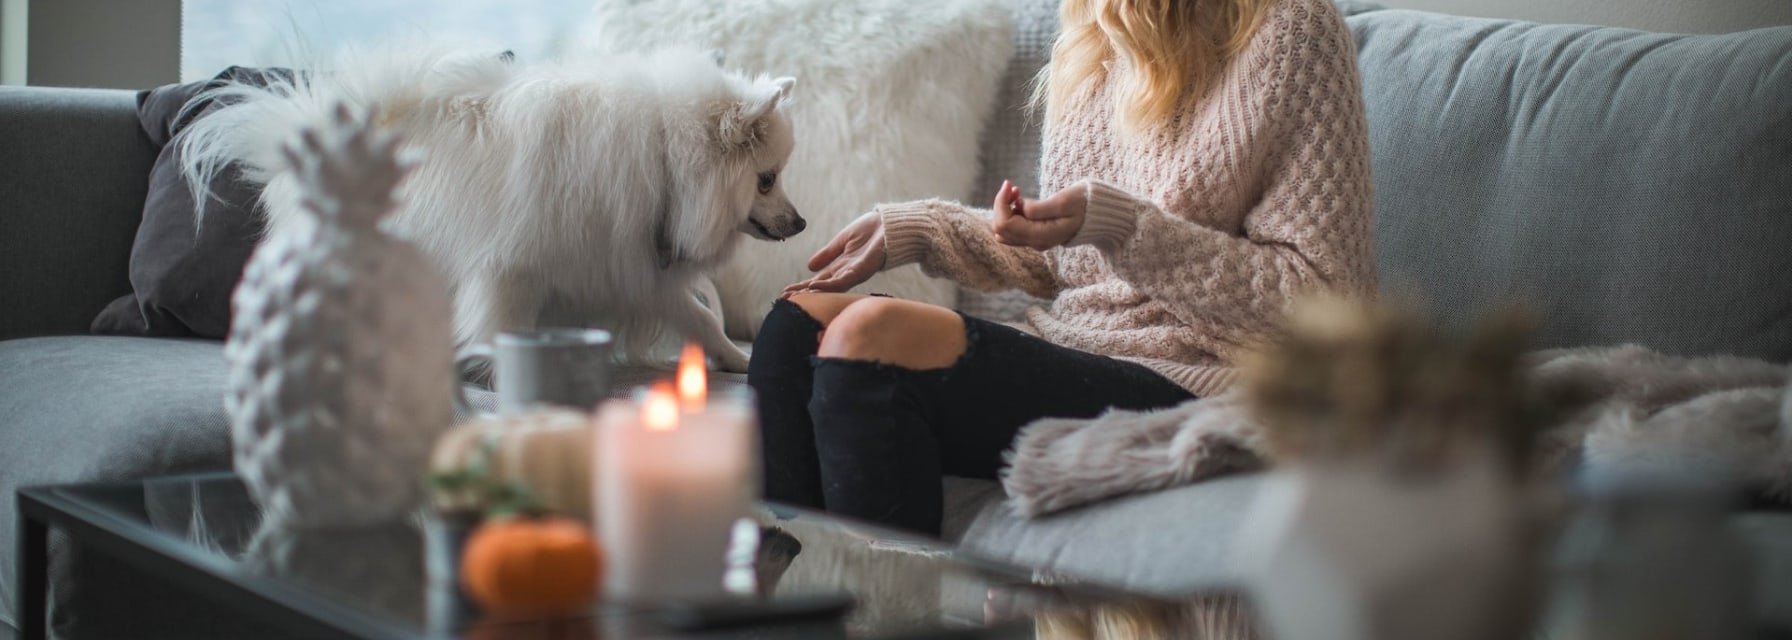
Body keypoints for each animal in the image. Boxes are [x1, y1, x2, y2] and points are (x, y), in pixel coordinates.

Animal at [180, 43, 799, 369]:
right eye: (767, 180)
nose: (801, 222)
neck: (664, 158)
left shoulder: (631, 267)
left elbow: (700, 318)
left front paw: (737, 360)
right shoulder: (512, 270)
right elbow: (503, 325)